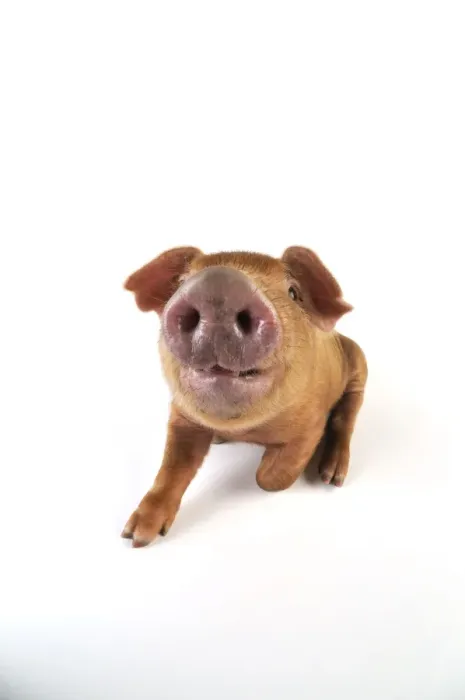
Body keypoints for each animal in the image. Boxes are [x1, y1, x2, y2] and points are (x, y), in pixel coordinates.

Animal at [122, 246, 367, 547]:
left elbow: (269, 478)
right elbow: (172, 467)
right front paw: (134, 537)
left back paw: (331, 476)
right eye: (180, 283)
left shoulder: (311, 423)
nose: (218, 283)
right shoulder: (181, 416)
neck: (245, 429)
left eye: (293, 292)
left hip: (359, 363)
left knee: (348, 413)